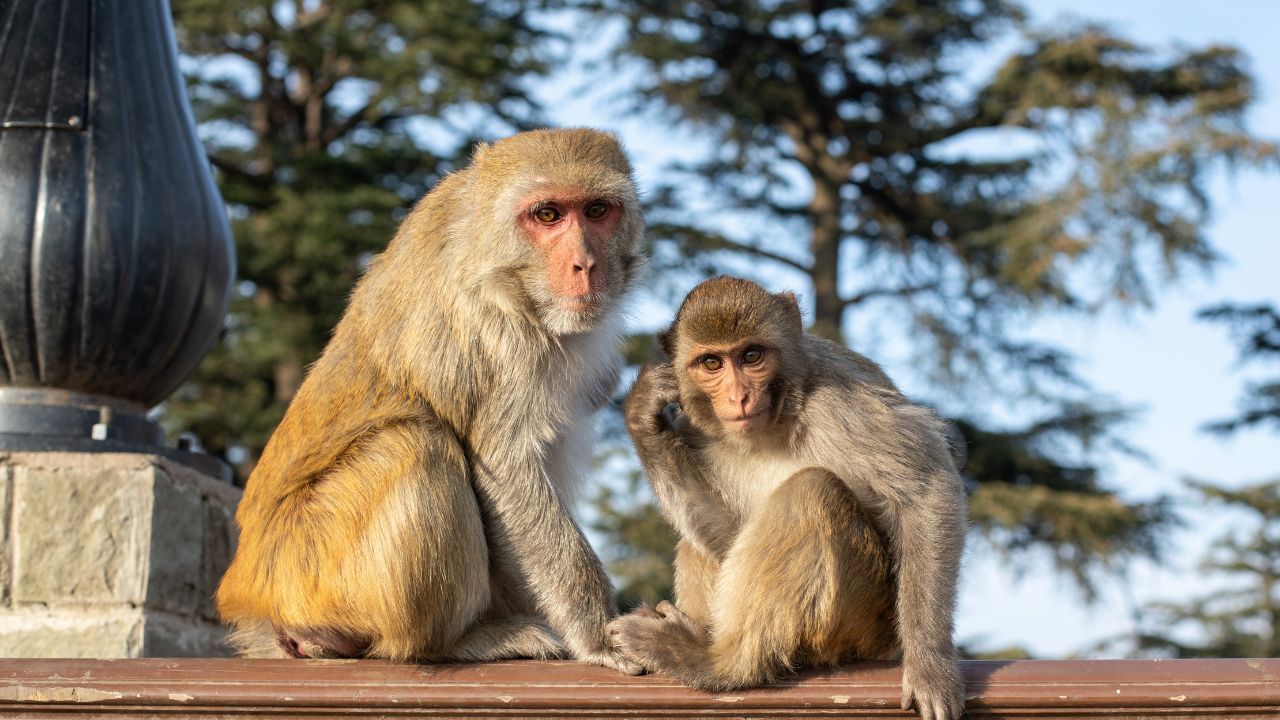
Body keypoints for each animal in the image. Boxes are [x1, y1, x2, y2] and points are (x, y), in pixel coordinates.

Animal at [214, 128, 645, 674]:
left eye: (596, 210)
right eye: (548, 214)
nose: (585, 264)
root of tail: (251, 597)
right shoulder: (497, 331)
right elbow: (508, 469)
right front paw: (600, 636)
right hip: (314, 571)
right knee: (415, 444)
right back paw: (455, 641)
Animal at [609, 276, 967, 720]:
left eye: (751, 356)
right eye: (712, 363)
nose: (739, 396)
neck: (777, 421)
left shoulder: (842, 406)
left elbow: (926, 487)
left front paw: (930, 664)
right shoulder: (694, 430)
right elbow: (729, 537)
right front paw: (643, 417)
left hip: (864, 622)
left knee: (810, 489)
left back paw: (711, 662)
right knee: (700, 542)